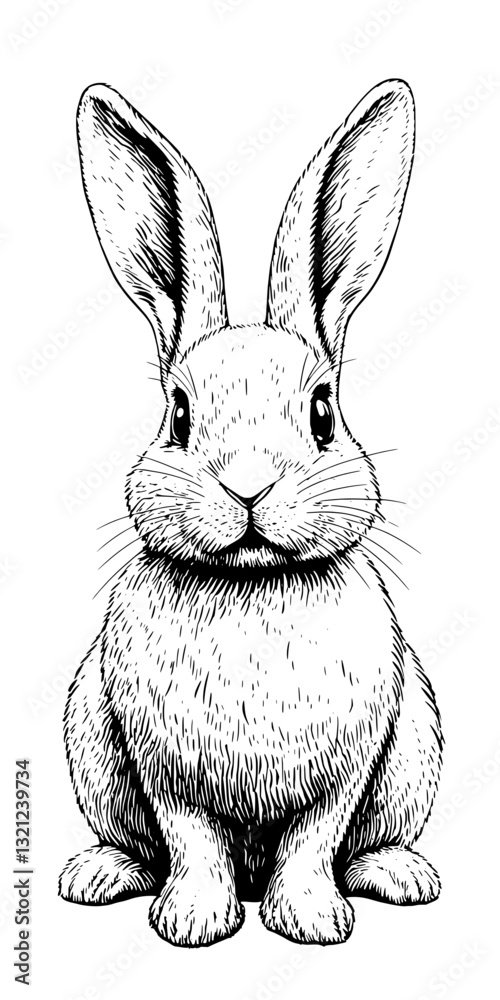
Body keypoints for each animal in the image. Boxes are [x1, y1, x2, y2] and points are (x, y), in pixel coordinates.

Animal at [59, 79, 443, 948]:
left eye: (323, 412)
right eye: (178, 415)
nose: (248, 487)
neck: (252, 584)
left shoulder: (346, 771)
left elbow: (314, 841)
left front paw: (311, 923)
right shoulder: (166, 773)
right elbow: (191, 840)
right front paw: (194, 923)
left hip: (413, 754)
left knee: (366, 842)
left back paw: (401, 877)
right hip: (91, 744)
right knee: (140, 844)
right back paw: (97, 875)